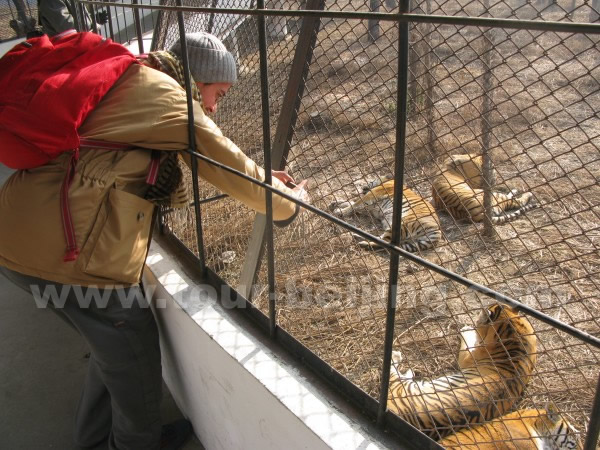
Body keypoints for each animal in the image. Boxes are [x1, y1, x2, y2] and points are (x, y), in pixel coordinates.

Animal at [390, 302, 540, 440]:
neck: (517, 333)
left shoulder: (467, 357)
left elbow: (467, 341)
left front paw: (466, 329)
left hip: (399, 387)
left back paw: (398, 357)